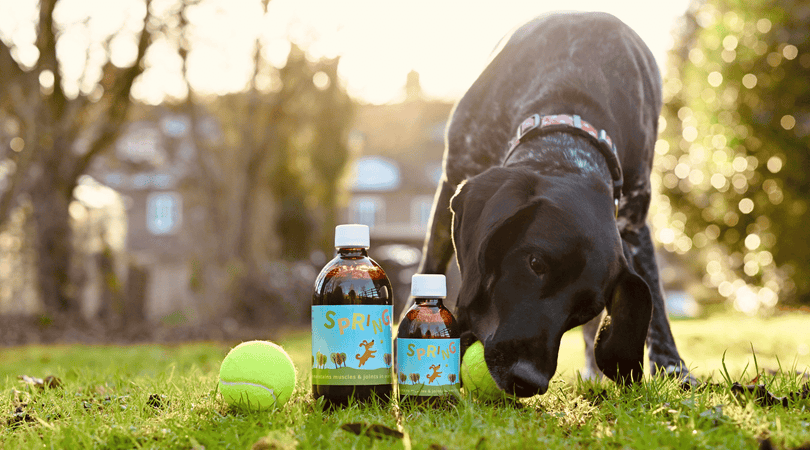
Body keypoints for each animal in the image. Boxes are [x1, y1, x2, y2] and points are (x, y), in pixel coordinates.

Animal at [410, 11, 688, 398]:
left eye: (586, 308)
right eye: (535, 263)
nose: (528, 380)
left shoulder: (634, 226)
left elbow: (658, 311)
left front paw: (674, 370)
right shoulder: (454, 176)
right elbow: (430, 267)